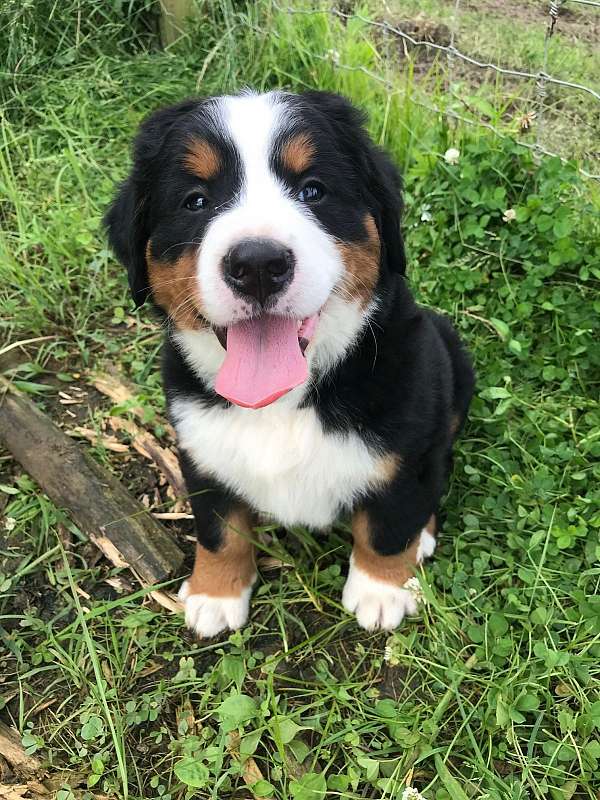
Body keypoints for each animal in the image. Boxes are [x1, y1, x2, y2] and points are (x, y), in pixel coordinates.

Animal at [105, 87, 476, 636]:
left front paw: (381, 590)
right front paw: (216, 593)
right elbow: (218, 529)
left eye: (313, 191)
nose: (257, 264)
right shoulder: (201, 452)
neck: (282, 403)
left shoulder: (403, 450)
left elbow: (388, 524)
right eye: (196, 201)